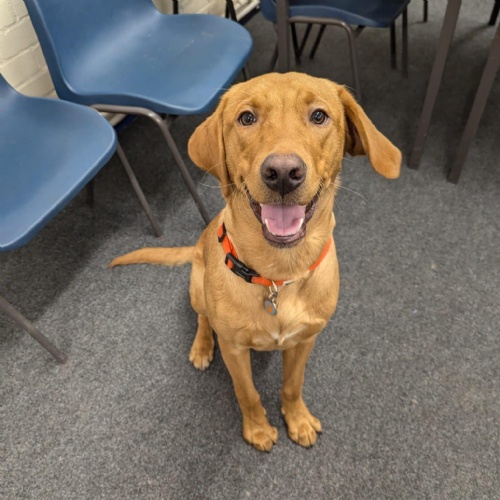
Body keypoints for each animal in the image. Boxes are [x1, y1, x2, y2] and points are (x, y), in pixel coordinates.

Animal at [109, 72, 401, 451]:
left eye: (319, 116)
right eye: (247, 118)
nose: (283, 172)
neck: (279, 272)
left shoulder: (305, 340)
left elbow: (292, 384)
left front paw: (297, 419)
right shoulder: (234, 349)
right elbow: (246, 393)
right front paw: (258, 429)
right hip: (197, 288)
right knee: (203, 317)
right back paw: (202, 347)